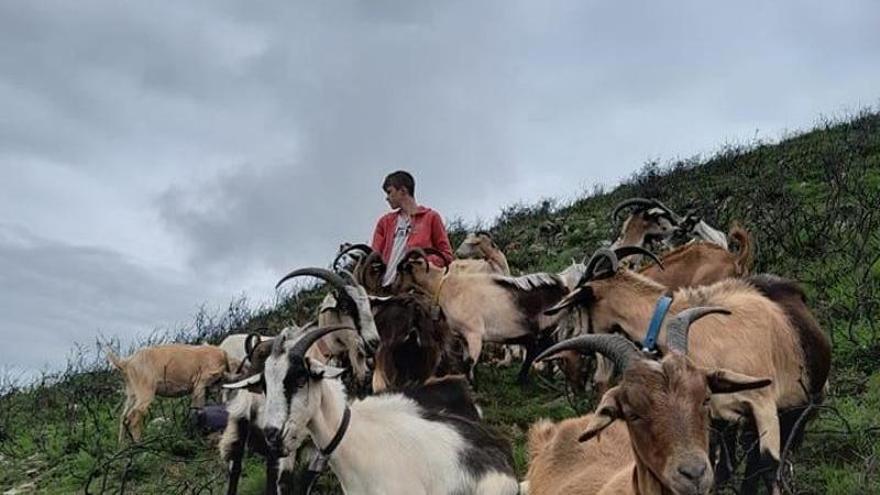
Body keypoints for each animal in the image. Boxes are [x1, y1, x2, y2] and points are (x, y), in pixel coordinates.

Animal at [105, 344, 237, 446]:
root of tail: (127, 363)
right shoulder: (199, 385)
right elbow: (197, 409)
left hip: (132, 393)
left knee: (124, 416)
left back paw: (121, 445)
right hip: (145, 391)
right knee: (134, 416)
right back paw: (139, 444)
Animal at [552, 247, 832, 492]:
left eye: (577, 306)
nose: (570, 354)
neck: (706, 333)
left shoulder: (763, 405)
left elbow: (769, 469)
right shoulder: (719, 416)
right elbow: (722, 471)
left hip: (796, 406)